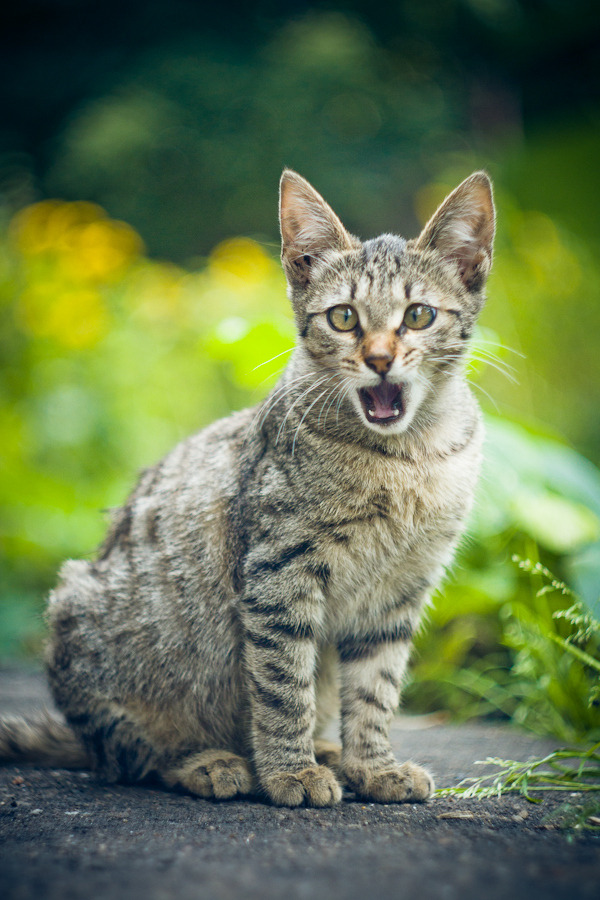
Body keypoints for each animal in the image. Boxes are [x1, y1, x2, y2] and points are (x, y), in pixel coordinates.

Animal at [1, 169, 496, 808]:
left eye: (417, 316)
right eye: (343, 318)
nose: (381, 359)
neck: (407, 458)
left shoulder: (399, 591)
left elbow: (376, 689)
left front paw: (372, 765)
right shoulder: (280, 571)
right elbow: (283, 684)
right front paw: (290, 772)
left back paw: (330, 752)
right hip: (88, 620)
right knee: (128, 756)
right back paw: (210, 761)